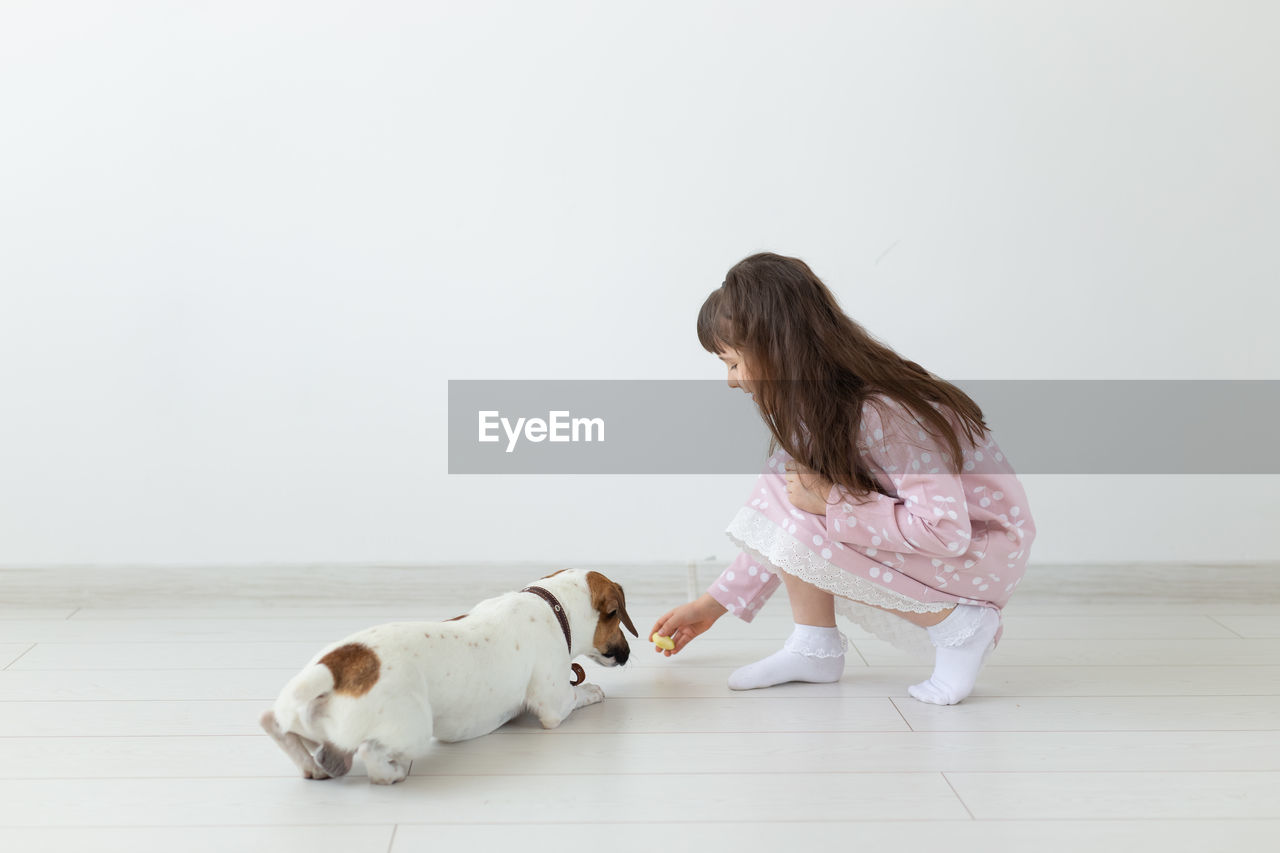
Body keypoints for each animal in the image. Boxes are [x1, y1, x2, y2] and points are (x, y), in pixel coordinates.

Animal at [257, 568, 637, 778]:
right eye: (617, 618)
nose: (628, 655)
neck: (551, 604)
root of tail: (336, 668)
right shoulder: (554, 704)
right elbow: (576, 695)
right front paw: (594, 690)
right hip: (411, 729)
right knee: (369, 753)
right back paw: (392, 773)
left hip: (307, 723)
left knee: (276, 725)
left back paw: (311, 767)